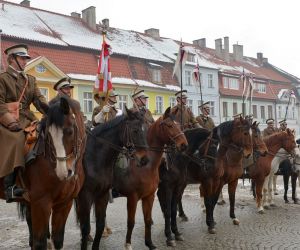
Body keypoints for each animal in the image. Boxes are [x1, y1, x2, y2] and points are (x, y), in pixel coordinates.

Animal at [0, 97, 86, 250]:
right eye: (48, 135)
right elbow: (40, 243)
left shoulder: (65, 203)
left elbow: (57, 240)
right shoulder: (41, 204)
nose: (63, 172)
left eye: (70, 131)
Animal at [75, 108, 148, 250]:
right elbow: (86, 227)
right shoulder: (85, 196)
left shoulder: (102, 195)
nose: (144, 160)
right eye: (135, 130)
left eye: (145, 129)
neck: (94, 158)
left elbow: (99, 225)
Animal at [112, 107, 188, 250]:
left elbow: (152, 217)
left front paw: (153, 242)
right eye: (169, 125)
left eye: (179, 125)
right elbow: (131, 221)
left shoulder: (151, 195)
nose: (184, 145)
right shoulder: (133, 197)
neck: (146, 165)